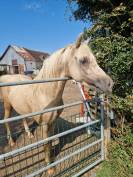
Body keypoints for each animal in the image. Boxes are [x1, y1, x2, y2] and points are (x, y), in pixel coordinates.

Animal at [0, 35, 113, 175]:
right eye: (83, 60)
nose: (110, 84)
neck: (45, 92)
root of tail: (6, 77)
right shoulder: (44, 124)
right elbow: (46, 144)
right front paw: (49, 168)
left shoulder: (52, 122)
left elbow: (50, 141)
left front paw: (52, 161)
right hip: (7, 106)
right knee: (6, 120)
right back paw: (11, 142)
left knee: (23, 118)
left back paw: (30, 134)